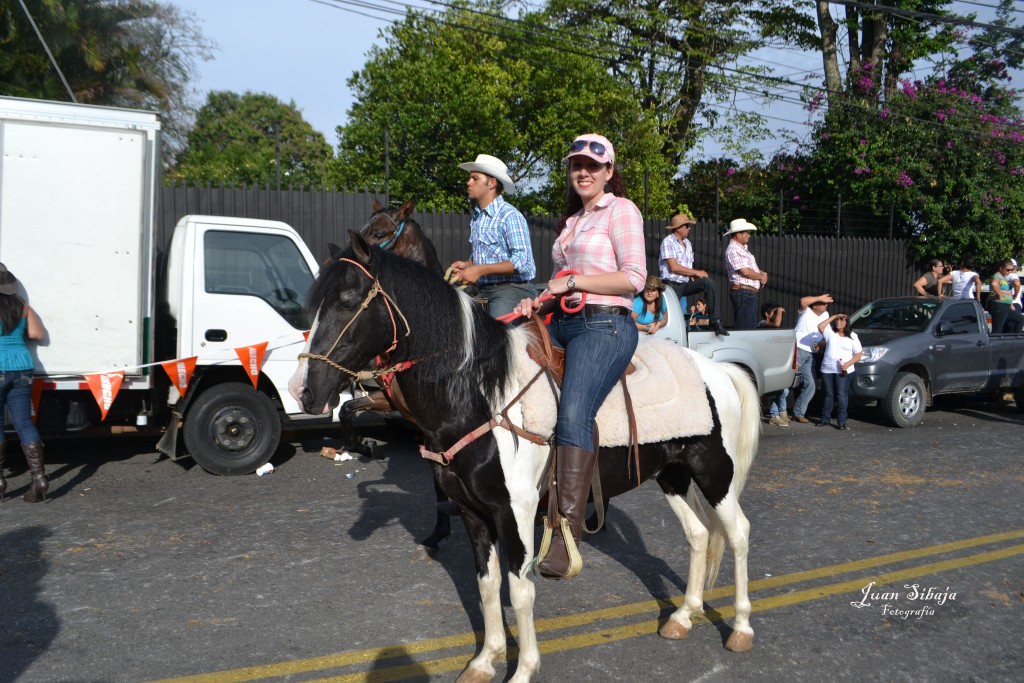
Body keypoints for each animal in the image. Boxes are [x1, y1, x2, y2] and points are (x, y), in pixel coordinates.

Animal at [294, 233, 761, 679]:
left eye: (347, 301)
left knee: (737, 532)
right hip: (673, 474)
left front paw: (522, 669)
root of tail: (718, 371)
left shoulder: (514, 512)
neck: (482, 395)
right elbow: (486, 585)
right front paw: (485, 661)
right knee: (699, 534)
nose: (304, 390)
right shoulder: (473, 513)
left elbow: (520, 591)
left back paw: (740, 627)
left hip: (714, 474)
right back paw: (683, 616)